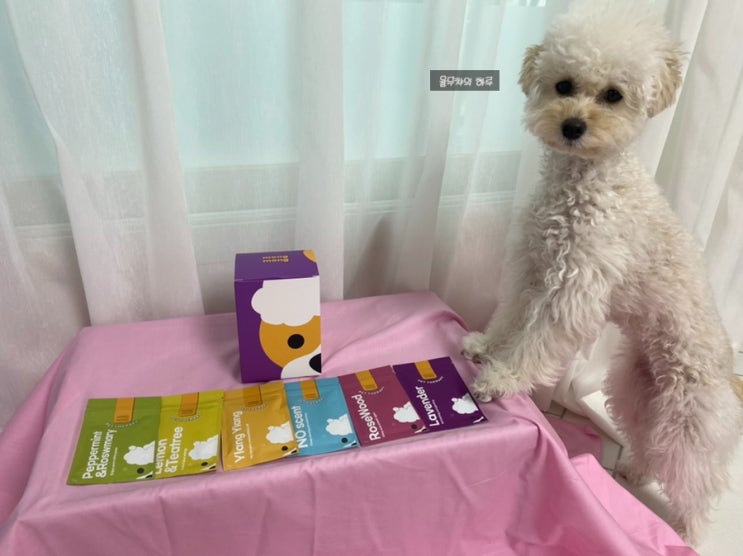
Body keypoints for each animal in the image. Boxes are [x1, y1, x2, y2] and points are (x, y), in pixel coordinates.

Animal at [462, 0, 743, 544]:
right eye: (563, 85)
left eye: (614, 95)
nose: (573, 126)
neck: (581, 184)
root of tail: (728, 374)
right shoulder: (532, 268)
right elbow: (511, 317)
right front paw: (485, 347)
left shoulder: (572, 290)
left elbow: (534, 342)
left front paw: (502, 378)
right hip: (635, 389)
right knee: (650, 443)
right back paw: (633, 469)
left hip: (690, 419)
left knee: (696, 482)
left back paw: (687, 534)